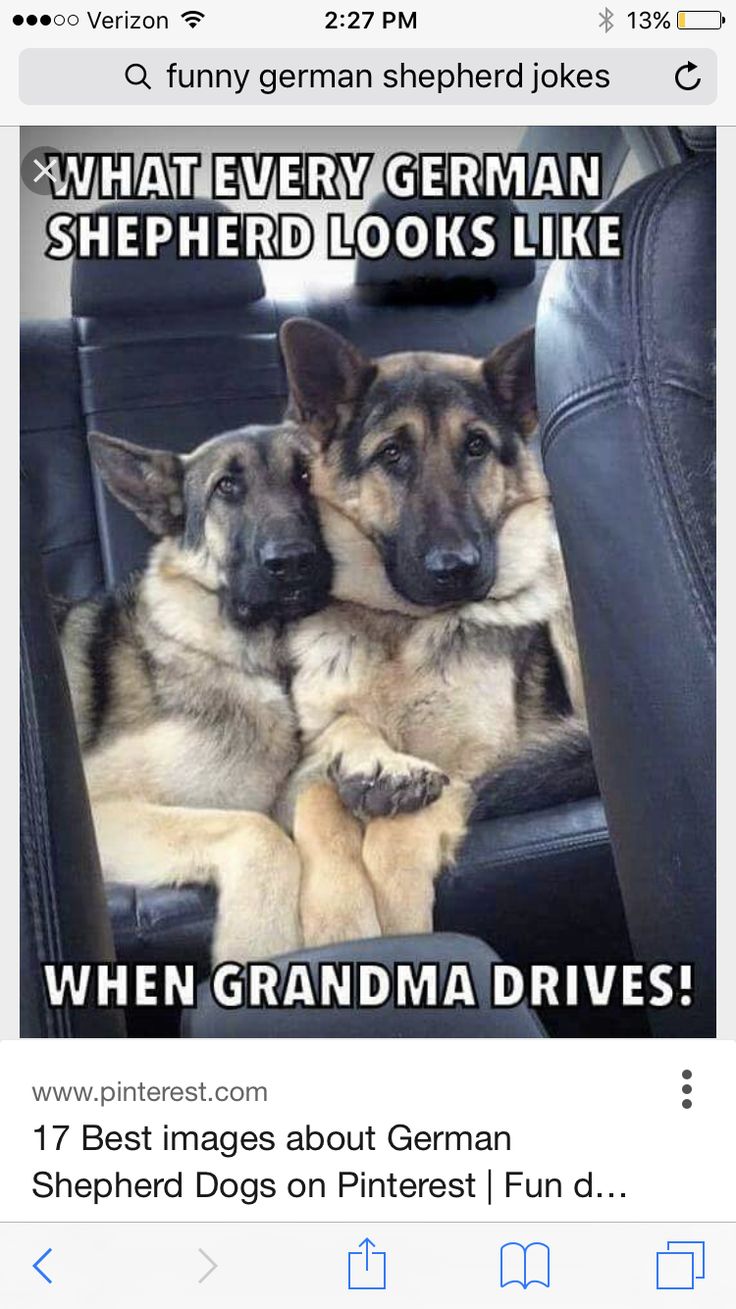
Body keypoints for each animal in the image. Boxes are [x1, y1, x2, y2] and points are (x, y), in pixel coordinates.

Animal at [275, 322, 589, 947]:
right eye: (392, 453)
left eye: (476, 447)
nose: (457, 569)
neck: (402, 628)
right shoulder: (300, 779)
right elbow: (322, 794)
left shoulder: (474, 767)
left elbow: (399, 839)